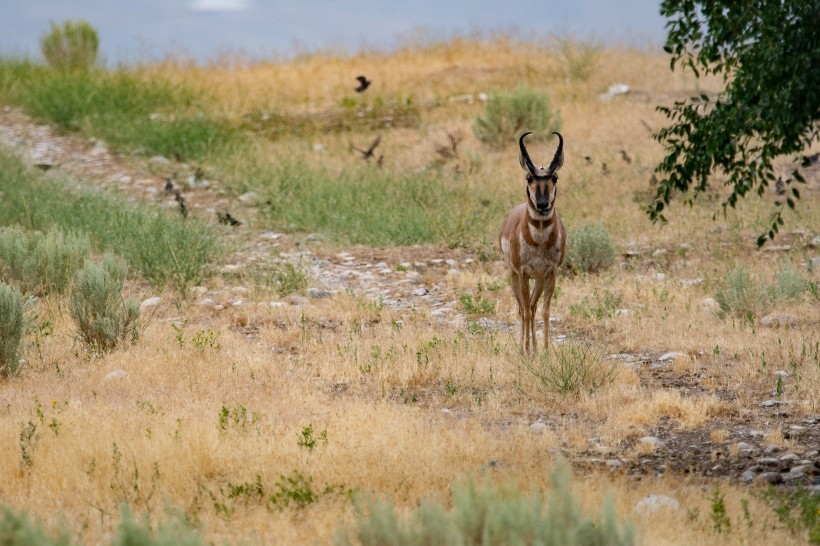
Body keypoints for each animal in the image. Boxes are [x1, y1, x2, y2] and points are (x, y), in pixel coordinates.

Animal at [500, 132, 564, 352]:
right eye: (529, 177)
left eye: (555, 177)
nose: (543, 205)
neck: (540, 242)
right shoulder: (522, 274)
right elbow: (525, 311)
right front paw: (526, 350)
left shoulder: (550, 273)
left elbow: (545, 311)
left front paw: (544, 350)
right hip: (514, 276)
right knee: (523, 308)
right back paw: (524, 347)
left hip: (539, 279)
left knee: (534, 307)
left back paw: (535, 348)